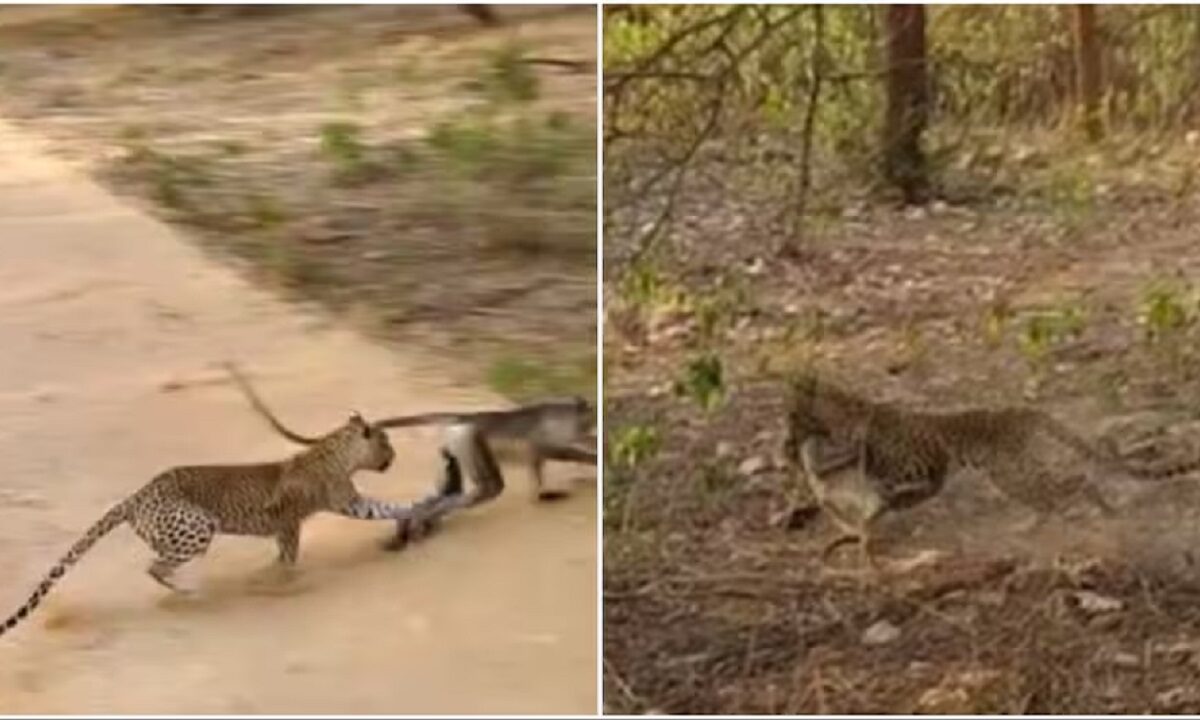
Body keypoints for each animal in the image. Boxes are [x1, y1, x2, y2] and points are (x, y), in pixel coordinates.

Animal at [0, 412, 452, 638]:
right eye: (385, 443)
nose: (392, 457)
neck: (337, 453)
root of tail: (136, 495)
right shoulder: (305, 517)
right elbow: (291, 556)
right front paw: (282, 582)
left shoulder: (344, 506)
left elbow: (385, 508)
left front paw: (423, 507)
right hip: (199, 525)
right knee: (155, 566)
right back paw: (191, 593)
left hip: (177, 531)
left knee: (156, 560)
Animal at [780, 372, 1200, 570]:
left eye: (794, 414)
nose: (786, 443)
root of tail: (1021, 411)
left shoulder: (928, 468)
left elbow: (890, 491)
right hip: (1015, 472)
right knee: (1058, 492)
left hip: (1010, 474)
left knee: (1069, 486)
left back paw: (1098, 512)